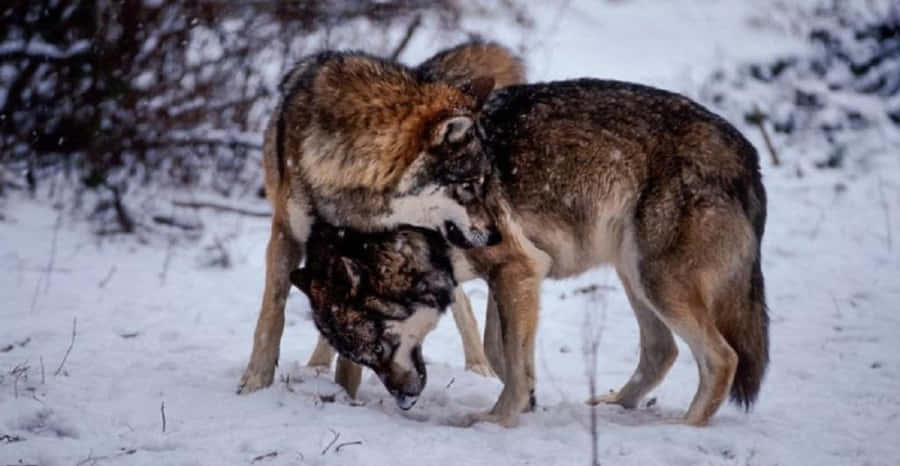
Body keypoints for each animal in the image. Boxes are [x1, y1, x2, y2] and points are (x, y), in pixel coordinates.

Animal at [238, 42, 525, 394]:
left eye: (487, 183)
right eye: (469, 186)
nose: (497, 235)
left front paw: (346, 393)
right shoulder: (287, 233)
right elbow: (272, 312)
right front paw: (254, 383)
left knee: (462, 303)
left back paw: (480, 368)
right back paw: (316, 366)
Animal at [302, 78, 770, 428]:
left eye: (381, 349)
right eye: (363, 357)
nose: (404, 399)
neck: (418, 224)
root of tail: (747, 152)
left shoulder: (518, 270)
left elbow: (511, 359)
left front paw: (497, 420)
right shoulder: (510, 276)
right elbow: (500, 351)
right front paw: (527, 402)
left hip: (658, 282)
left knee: (722, 357)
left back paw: (685, 425)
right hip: (635, 276)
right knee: (662, 350)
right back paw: (617, 405)